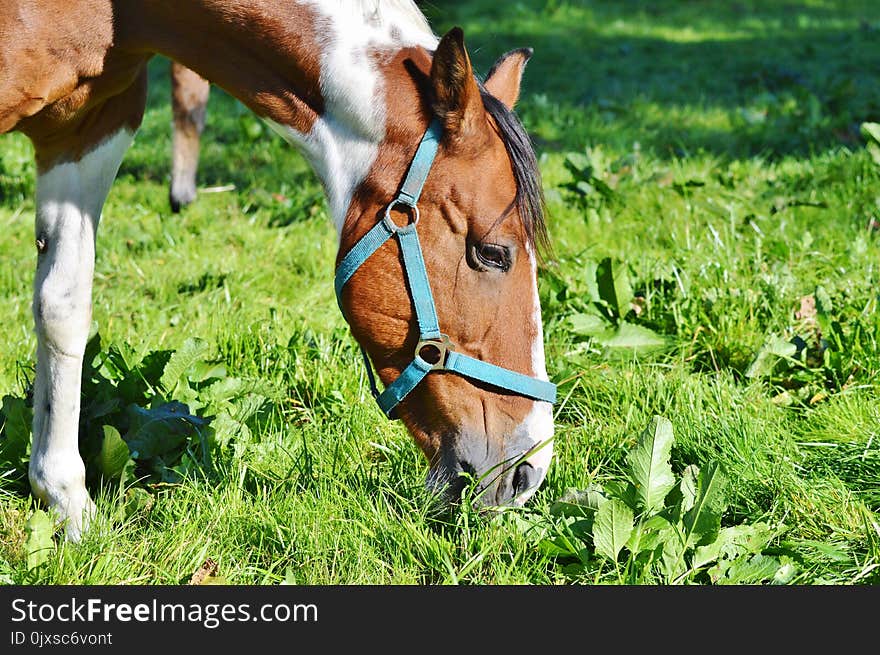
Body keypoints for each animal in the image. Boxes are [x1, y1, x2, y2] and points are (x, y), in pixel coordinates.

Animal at [1, 1, 556, 544]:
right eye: (493, 253)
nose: (529, 470)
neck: (122, 14)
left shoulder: (91, 125)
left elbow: (63, 308)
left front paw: (65, 500)